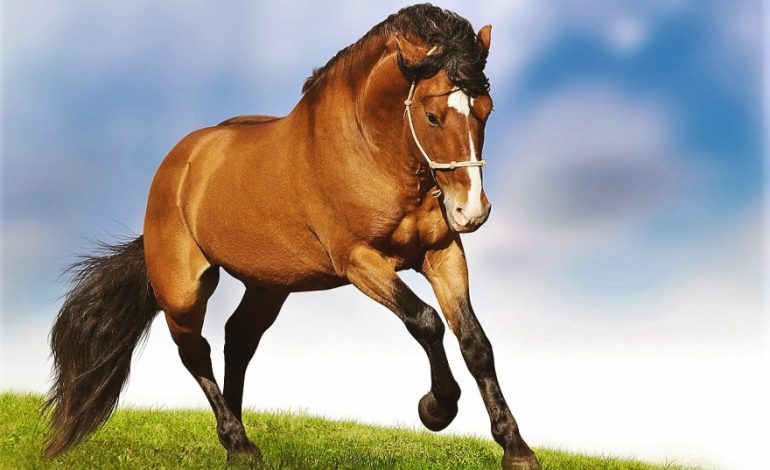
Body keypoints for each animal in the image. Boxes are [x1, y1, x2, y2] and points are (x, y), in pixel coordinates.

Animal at [44, 4, 539, 469]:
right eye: (433, 116)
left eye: (486, 110)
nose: (471, 211)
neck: (371, 150)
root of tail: (178, 165)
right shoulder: (359, 260)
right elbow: (426, 321)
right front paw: (436, 409)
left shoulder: (442, 253)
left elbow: (475, 342)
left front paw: (516, 449)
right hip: (183, 290)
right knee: (195, 352)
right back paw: (238, 443)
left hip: (268, 285)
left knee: (238, 340)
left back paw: (236, 440)